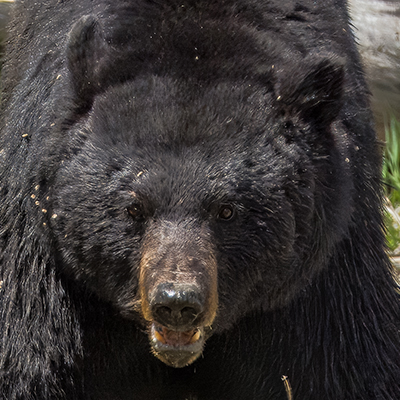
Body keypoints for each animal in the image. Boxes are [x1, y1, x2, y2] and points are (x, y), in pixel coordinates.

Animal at [0, 0, 398, 398]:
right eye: (133, 208)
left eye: (227, 210)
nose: (176, 303)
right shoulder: (52, 265)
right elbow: (27, 351)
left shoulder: (323, 263)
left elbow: (343, 361)